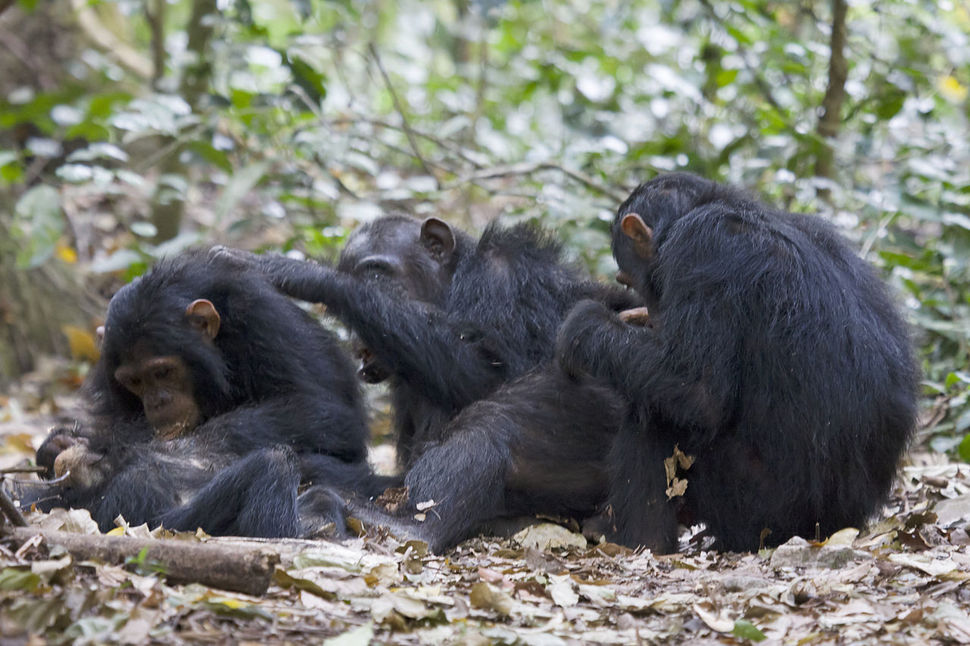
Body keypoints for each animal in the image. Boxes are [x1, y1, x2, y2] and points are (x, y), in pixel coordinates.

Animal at [30, 251, 370, 540]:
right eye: (134, 381)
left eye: (163, 372)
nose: (157, 402)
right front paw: (59, 445)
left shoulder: (264, 322)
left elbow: (324, 410)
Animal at [222, 219, 640, 552]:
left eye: (375, 274)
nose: (356, 341)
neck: (453, 286)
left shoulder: (505, 280)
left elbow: (502, 369)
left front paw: (308, 275)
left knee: (497, 418)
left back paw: (405, 527)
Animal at [552, 175, 916, 556]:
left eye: (626, 278)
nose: (652, 309)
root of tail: (838, 525)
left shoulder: (699, 249)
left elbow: (695, 389)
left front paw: (584, 326)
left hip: (760, 513)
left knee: (654, 414)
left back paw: (635, 540)